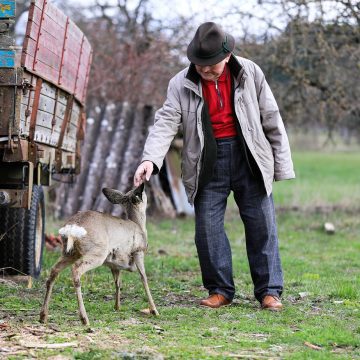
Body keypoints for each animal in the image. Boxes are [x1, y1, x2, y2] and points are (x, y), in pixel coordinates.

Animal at [38, 184, 158, 324]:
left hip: (69, 252)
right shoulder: (138, 251)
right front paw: (154, 310)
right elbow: (144, 278)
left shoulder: (115, 264)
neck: (139, 227)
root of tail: (72, 228)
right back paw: (84, 319)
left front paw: (117, 306)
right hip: (98, 252)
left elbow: (118, 282)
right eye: (143, 194)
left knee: (54, 271)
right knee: (76, 270)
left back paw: (43, 316)